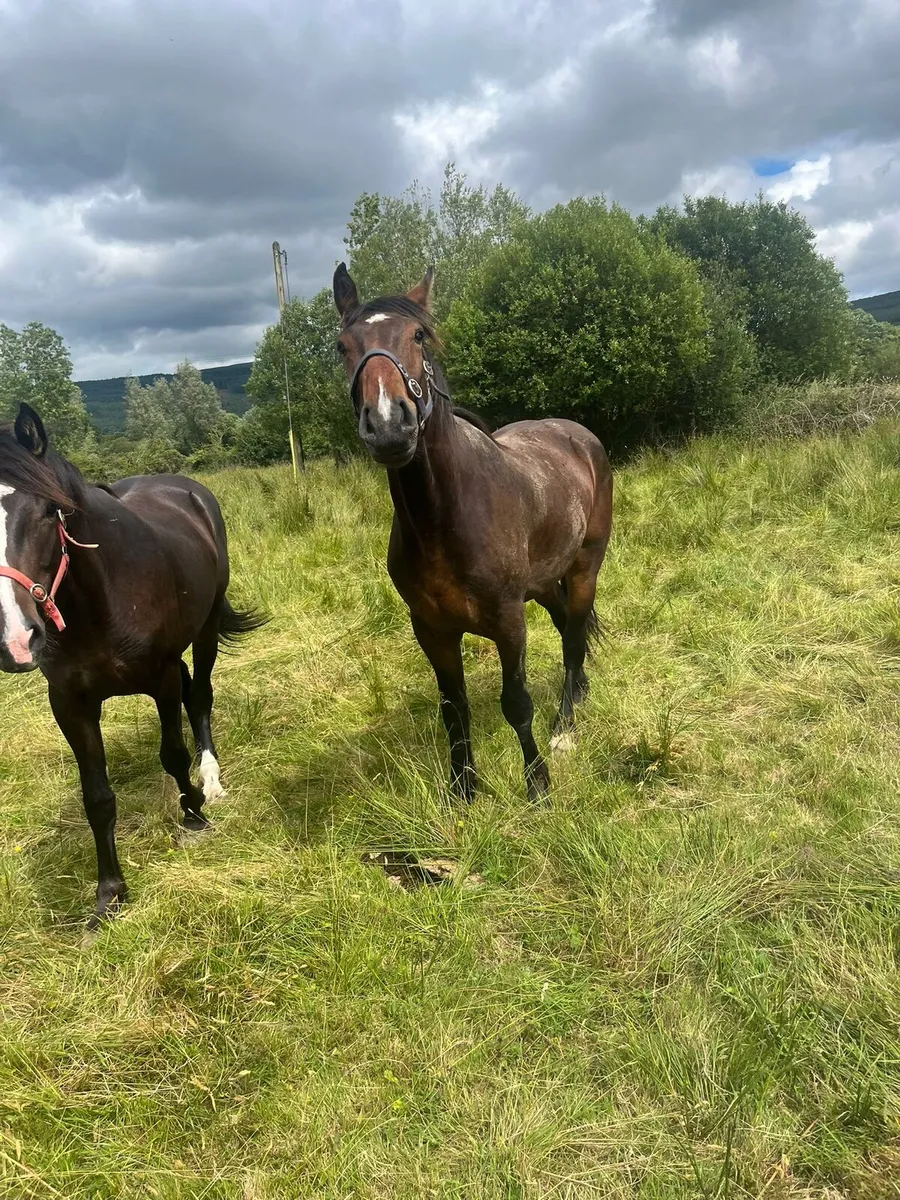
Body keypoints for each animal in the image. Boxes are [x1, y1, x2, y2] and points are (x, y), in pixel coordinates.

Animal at [0, 404, 265, 927]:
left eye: (46, 512)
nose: (16, 640)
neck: (99, 599)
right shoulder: (70, 703)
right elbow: (97, 798)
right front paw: (110, 894)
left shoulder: (159, 679)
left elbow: (173, 753)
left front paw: (194, 816)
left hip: (205, 629)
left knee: (199, 696)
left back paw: (210, 778)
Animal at [333, 263, 613, 803]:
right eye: (342, 346)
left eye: (418, 336)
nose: (389, 426)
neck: (446, 518)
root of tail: (580, 436)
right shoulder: (431, 629)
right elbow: (452, 708)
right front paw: (463, 788)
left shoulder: (508, 621)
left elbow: (517, 703)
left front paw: (537, 785)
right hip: (543, 583)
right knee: (567, 624)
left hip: (585, 566)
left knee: (572, 637)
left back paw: (565, 726)